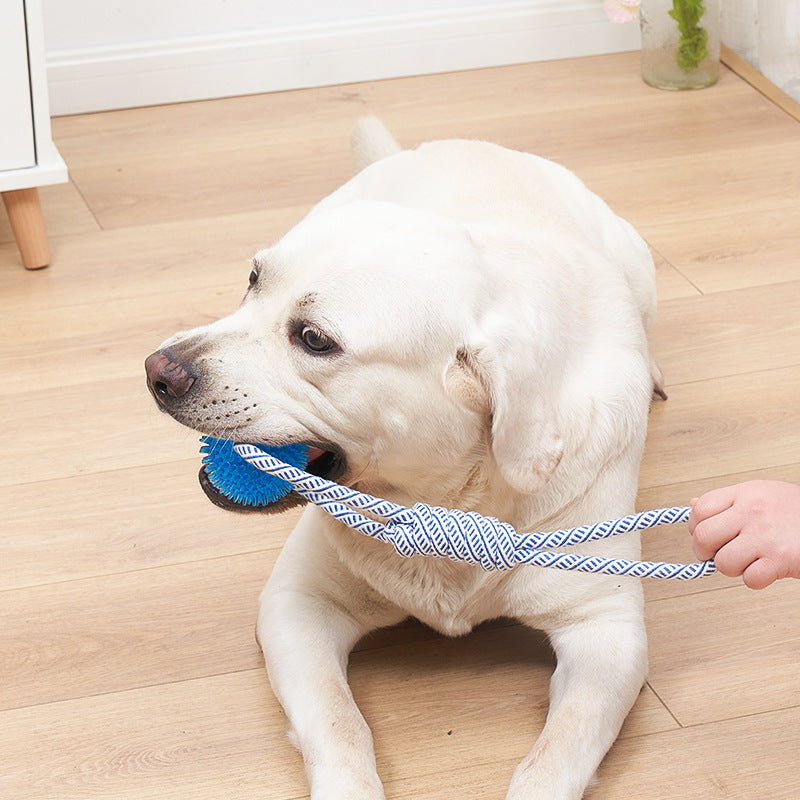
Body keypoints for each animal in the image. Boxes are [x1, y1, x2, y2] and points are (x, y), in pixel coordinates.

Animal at [145, 120, 664, 800]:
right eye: (254, 278)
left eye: (314, 339)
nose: (157, 370)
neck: (443, 500)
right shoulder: (298, 603)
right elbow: (339, 723)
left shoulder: (607, 629)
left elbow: (558, 754)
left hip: (637, 262)